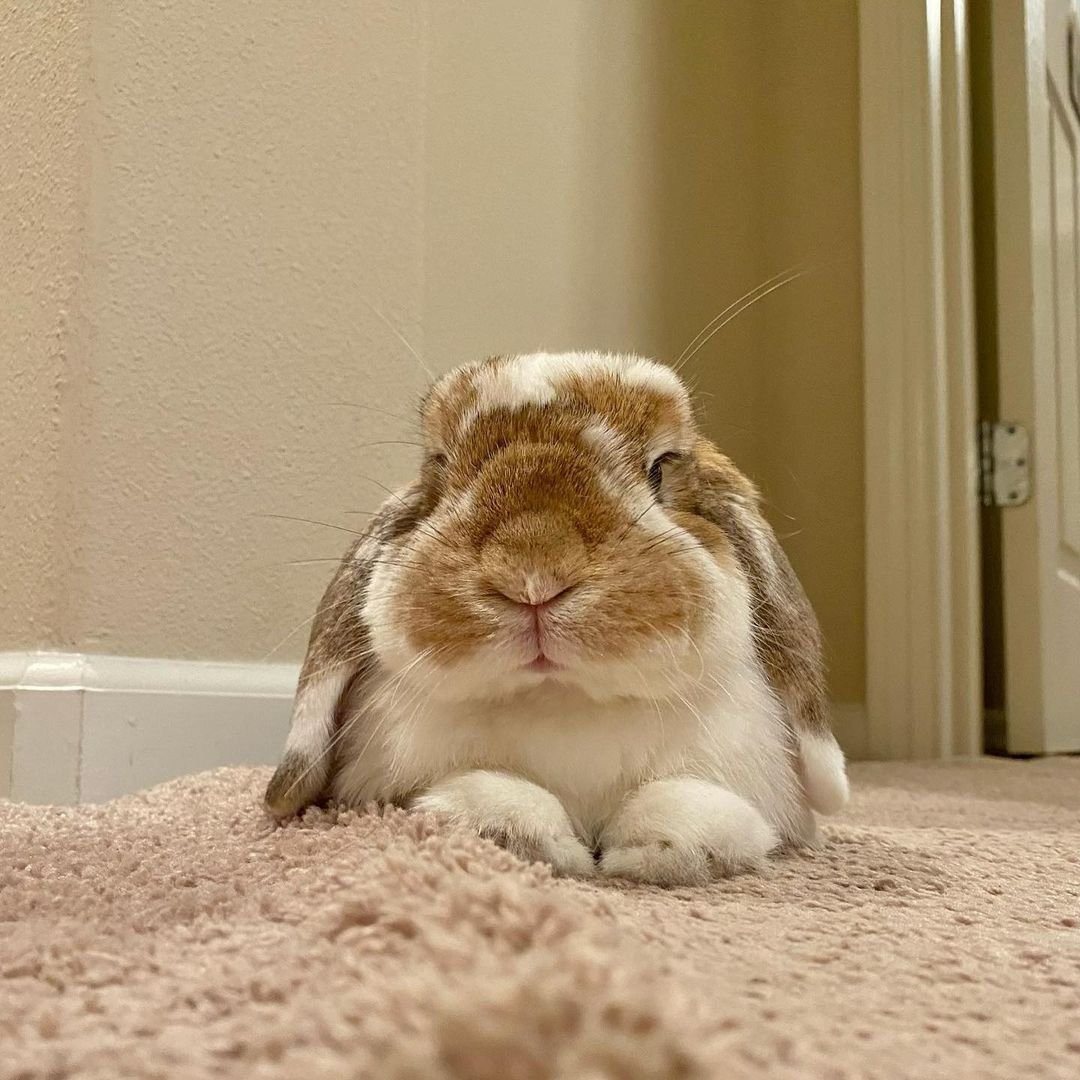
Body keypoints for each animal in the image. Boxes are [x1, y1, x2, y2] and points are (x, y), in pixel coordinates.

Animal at [265, 351, 849, 885]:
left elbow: (693, 805)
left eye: (660, 468)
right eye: (441, 465)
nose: (533, 575)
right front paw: (516, 837)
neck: (561, 701)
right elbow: (495, 796)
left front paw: (651, 851)